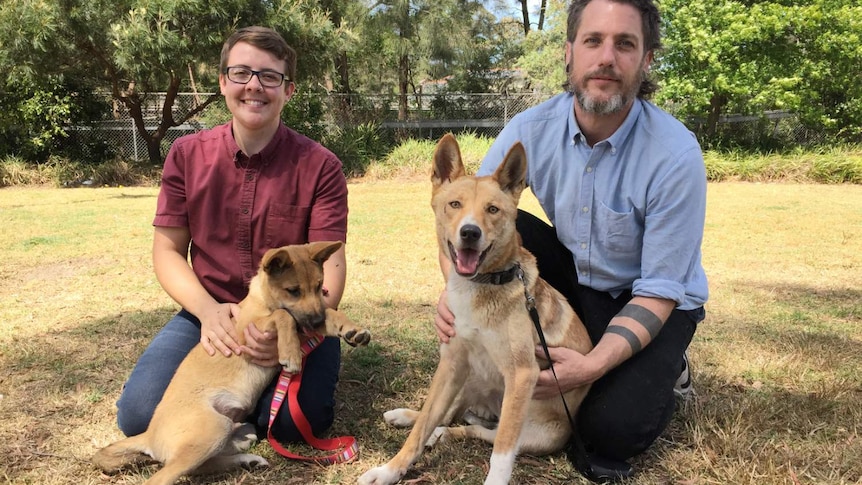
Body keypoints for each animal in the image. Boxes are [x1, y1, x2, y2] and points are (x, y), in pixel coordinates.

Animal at [94, 241, 372, 484]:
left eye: (319, 286)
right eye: (293, 290)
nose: (315, 321)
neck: (263, 300)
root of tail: (149, 434)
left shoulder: (308, 319)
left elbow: (329, 312)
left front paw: (353, 330)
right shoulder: (252, 330)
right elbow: (285, 316)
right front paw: (291, 353)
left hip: (228, 428)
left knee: (202, 465)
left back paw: (247, 458)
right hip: (211, 430)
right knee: (165, 476)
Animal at [358, 135, 592, 484]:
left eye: (492, 210)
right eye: (454, 204)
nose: (470, 232)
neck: (482, 287)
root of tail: (489, 408)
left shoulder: (522, 376)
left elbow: (502, 453)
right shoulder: (451, 363)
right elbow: (421, 427)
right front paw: (389, 470)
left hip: (536, 435)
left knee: (480, 432)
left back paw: (444, 433)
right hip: (466, 379)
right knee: (446, 416)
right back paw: (408, 417)